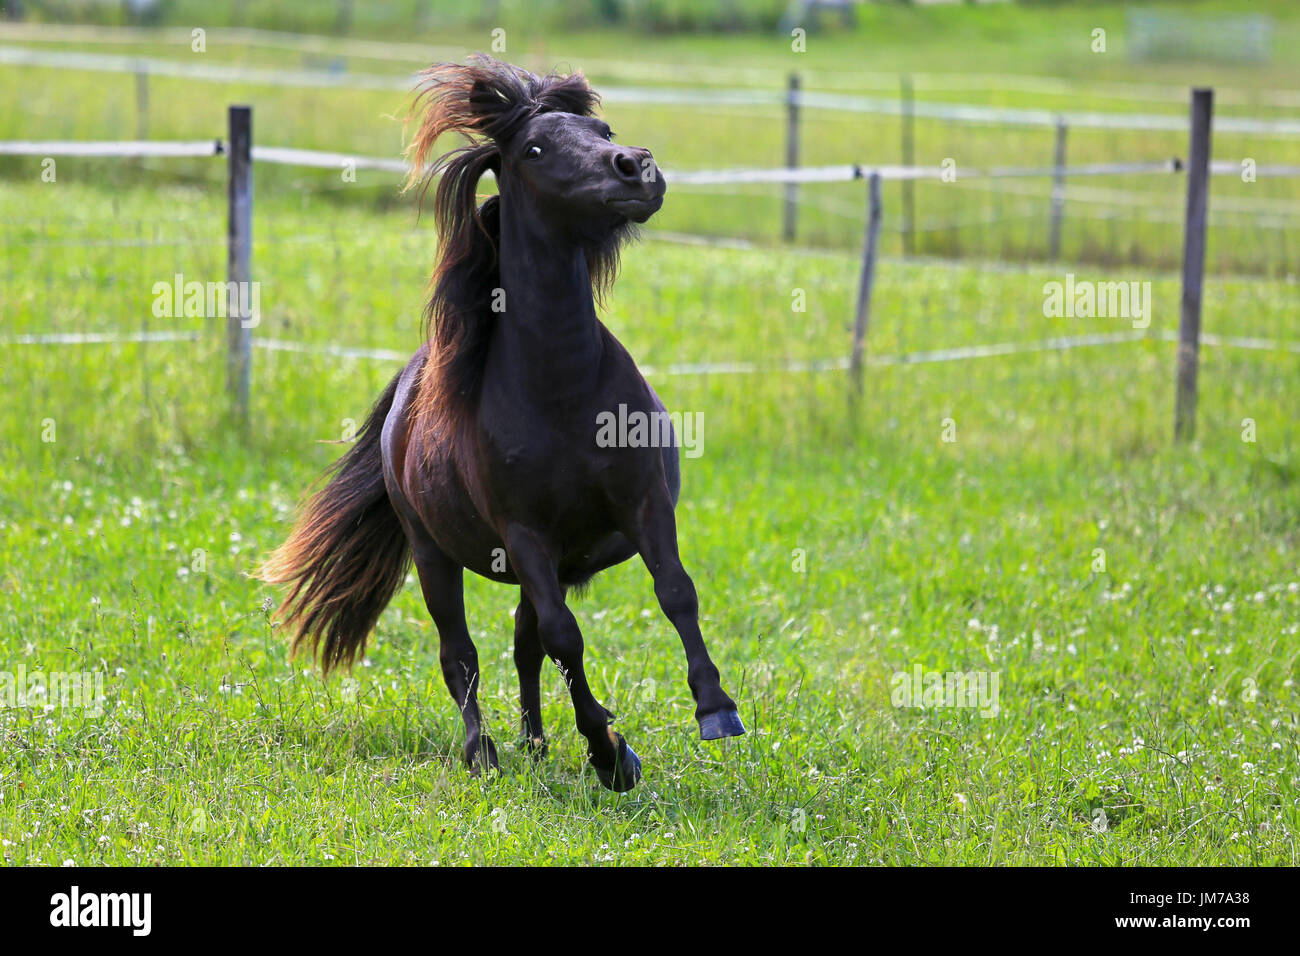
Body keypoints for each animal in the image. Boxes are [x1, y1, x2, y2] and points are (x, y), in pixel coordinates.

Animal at [256, 55, 743, 796]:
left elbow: (675, 594)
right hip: (434, 556)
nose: (636, 168)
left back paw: (536, 744)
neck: (563, 391)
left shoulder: (643, 504)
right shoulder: (525, 533)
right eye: (535, 150)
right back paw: (483, 753)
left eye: (604, 130)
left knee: (524, 644)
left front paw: (714, 707)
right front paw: (610, 753)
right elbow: (566, 637)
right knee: (462, 653)